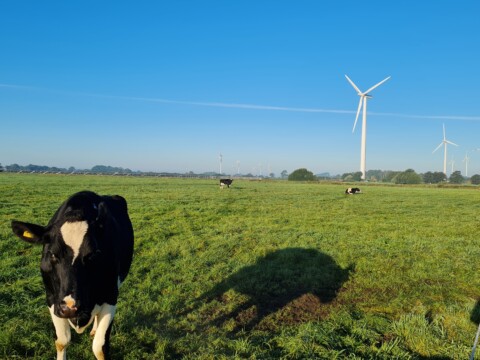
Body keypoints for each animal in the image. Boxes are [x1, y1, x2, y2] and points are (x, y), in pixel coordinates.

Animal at [11, 190, 135, 358]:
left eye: (94, 254)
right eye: (52, 254)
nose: (70, 307)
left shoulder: (111, 296)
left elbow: (99, 347)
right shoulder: (52, 299)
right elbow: (62, 342)